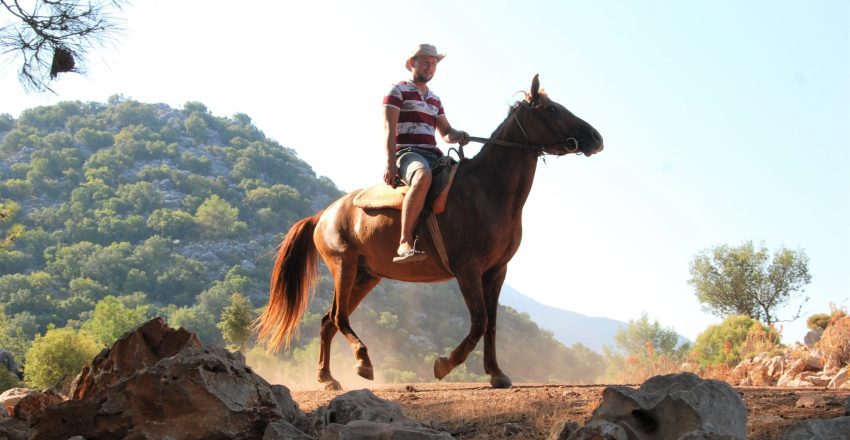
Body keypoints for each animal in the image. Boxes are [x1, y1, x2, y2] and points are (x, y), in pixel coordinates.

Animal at [256, 75, 604, 390]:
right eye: (551, 109)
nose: (596, 137)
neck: (487, 190)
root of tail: (323, 215)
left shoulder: (496, 271)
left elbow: (492, 325)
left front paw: (496, 373)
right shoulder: (467, 270)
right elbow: (479, 322)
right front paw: (444, 364)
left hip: (365, 276)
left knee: (328, 321)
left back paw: (327, 378)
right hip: (344, 266)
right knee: (340, 318)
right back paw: (362, 361)